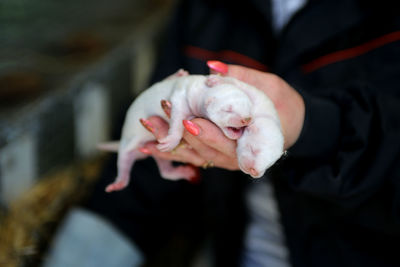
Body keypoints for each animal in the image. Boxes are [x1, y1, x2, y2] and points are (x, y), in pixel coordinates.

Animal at [103, 70, 253, 193]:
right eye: (228, 110)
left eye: (248, 107)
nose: (247, 119)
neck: (202, 89)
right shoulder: (180, 97)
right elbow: (177, 117)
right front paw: (172, 139)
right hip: (127, 144)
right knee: (124, 160)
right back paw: (119, 182)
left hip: (159, 155)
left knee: (164, 171)